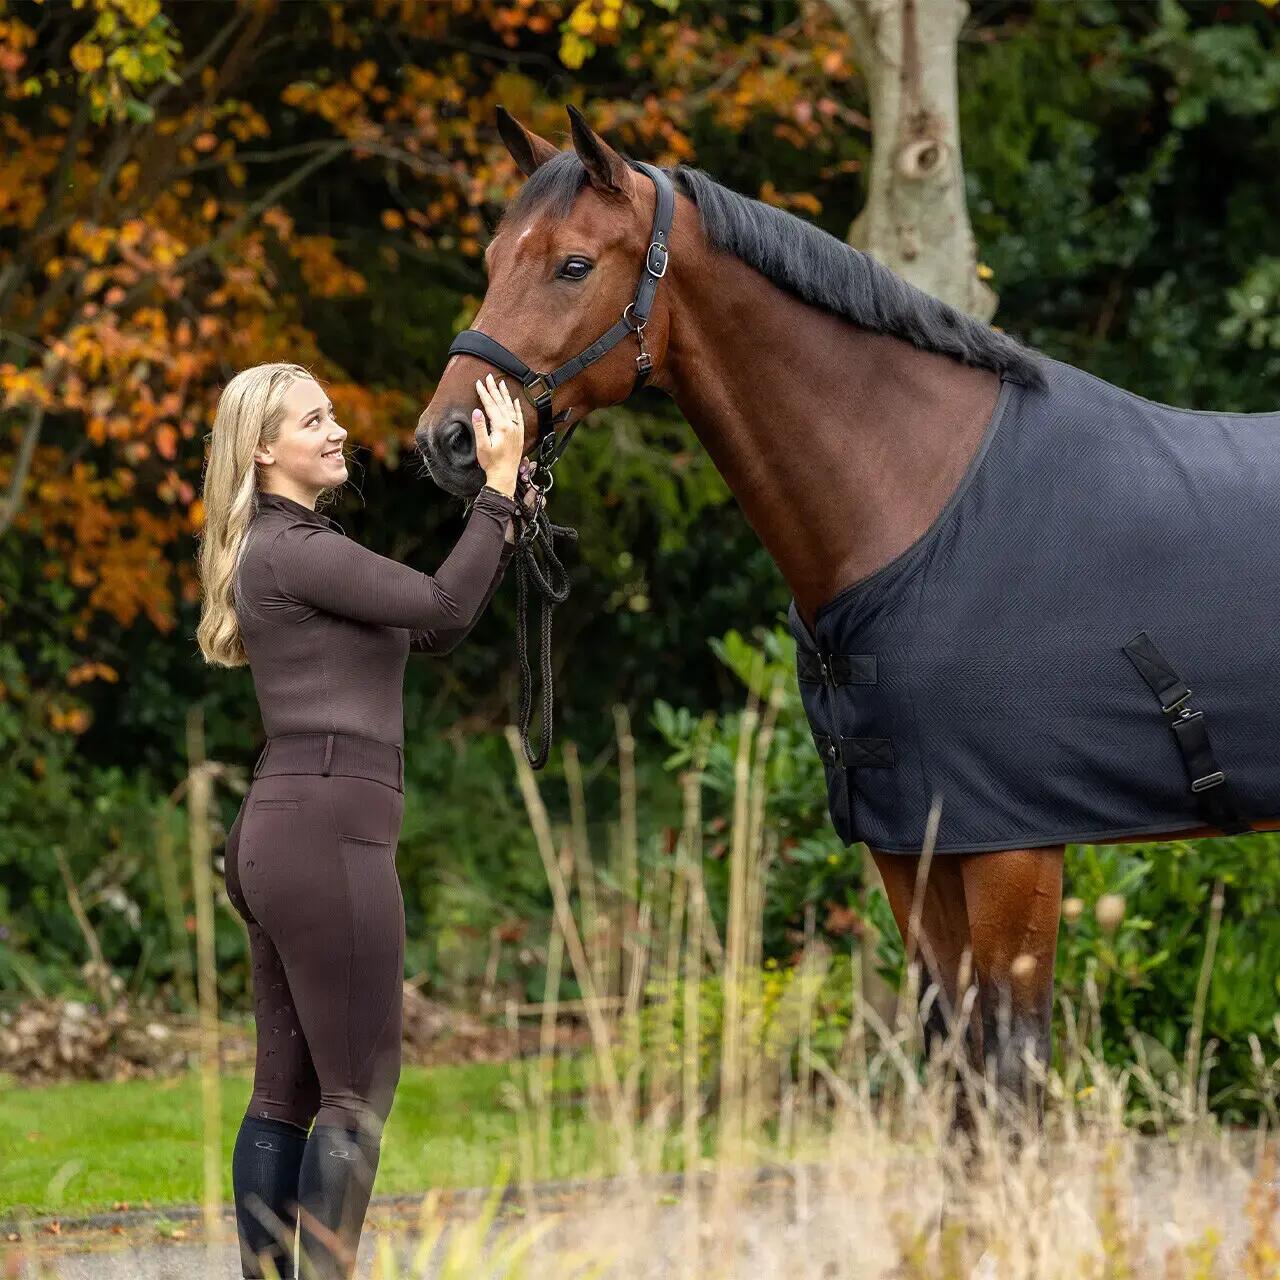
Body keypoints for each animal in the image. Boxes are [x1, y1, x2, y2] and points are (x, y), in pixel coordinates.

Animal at [414, 104, 1280, 1115]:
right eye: (491, 259)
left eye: (574, 265)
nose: (445, 441)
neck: (917, 503)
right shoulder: (911, 844)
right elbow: (955, 1075)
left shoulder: (1015, 846)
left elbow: (1011, 1083)